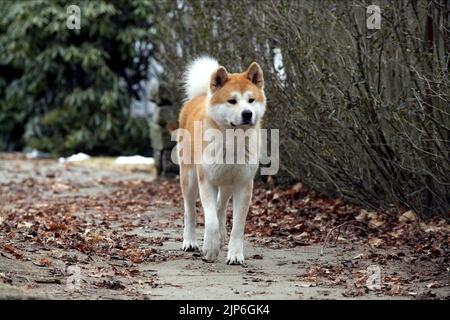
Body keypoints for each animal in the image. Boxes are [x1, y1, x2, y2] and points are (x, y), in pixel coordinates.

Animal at [177, 57, 268, 264]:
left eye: (251, 100)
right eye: (232, 101)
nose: (247, 113)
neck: (233, 141)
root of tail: (200, 96)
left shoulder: (243, 184)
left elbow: (237, 226)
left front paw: (234, 254)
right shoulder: (206, 181)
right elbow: (210, 220)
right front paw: (210, 248)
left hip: (227, 183)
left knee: (220, 206)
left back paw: (221, 236)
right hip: (189, 178)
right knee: (190, 212)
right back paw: (190, 241)